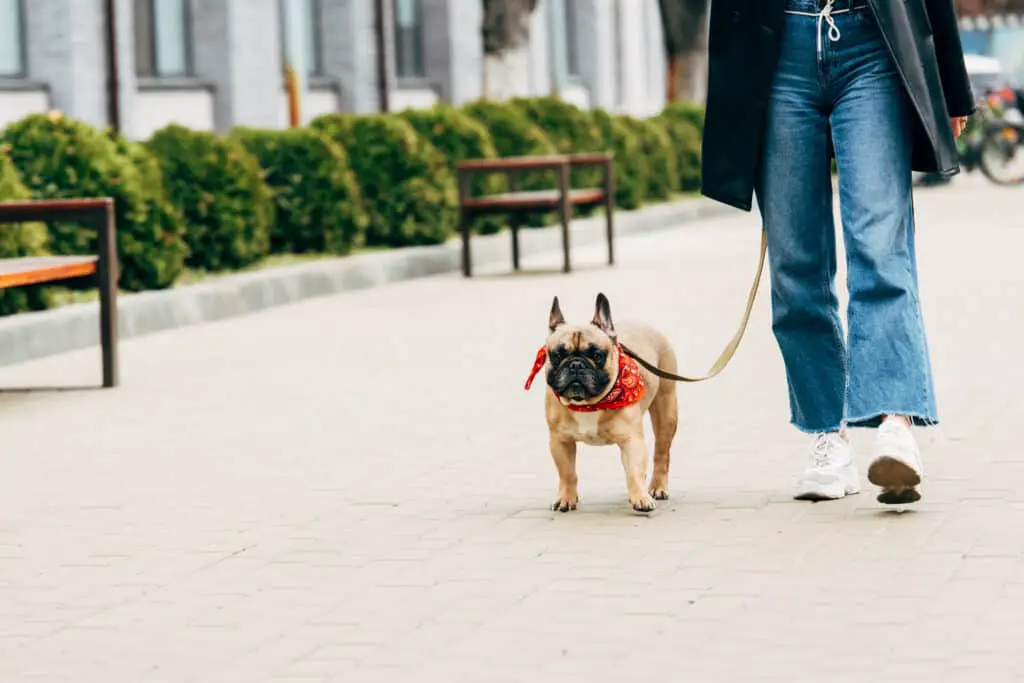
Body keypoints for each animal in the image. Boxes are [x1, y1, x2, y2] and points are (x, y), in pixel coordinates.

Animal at [528, 292, 679, 511]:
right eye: (557, 355)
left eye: (597, 355)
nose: (576, 365)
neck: (587, 404)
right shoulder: (560, 441)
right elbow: (567, 473)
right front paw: (566, 498)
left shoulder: (631, 439)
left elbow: (634, 472)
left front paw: (640, 498)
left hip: (666, 413)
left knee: (661, 453)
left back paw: (657, 488)